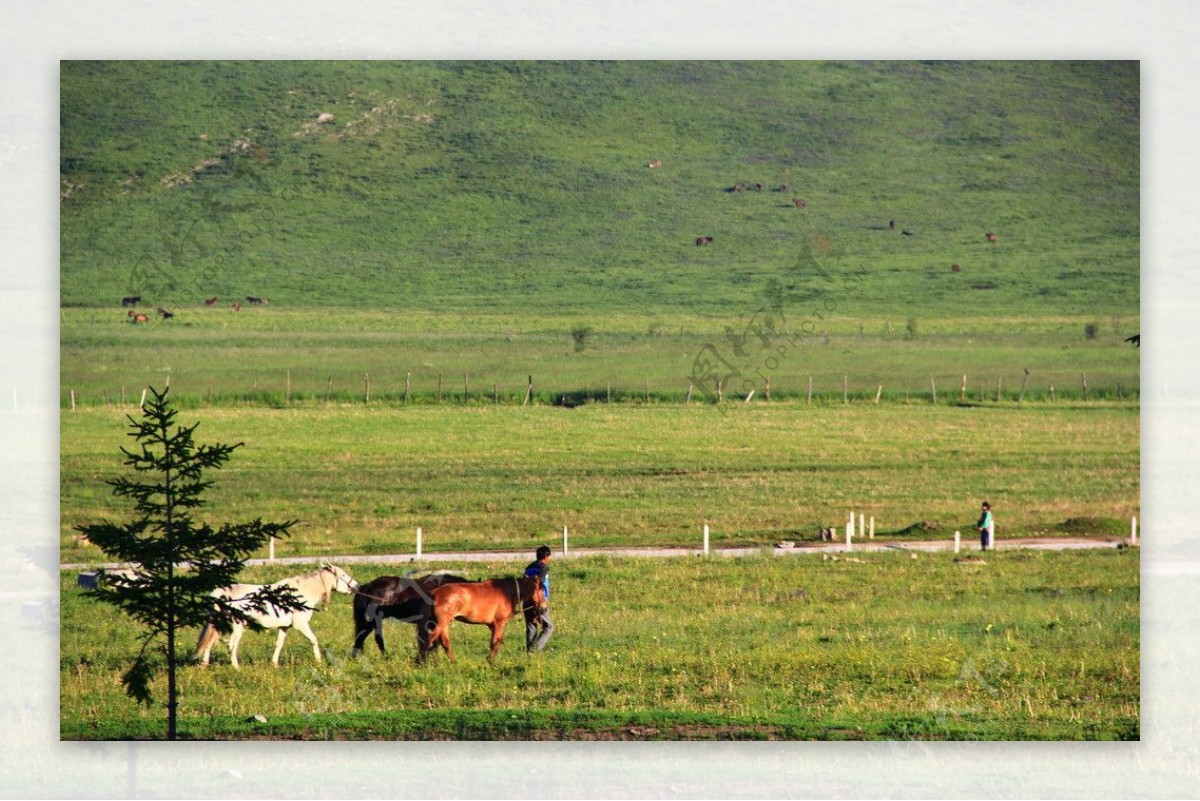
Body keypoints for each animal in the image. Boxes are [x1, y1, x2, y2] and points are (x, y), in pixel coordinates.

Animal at [193, 563, 355, 671]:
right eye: (343, 575)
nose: (357, 586)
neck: (302, 592)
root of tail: (219, 593)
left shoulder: (284, 627)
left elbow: (279, 644)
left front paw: (275, 664)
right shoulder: (301, 625)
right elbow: (313, 640)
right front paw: (319, 661)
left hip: (219, 625)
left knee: (209, 643)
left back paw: (204, 665)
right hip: (236, 627)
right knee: (231, 645)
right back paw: (236, 668)